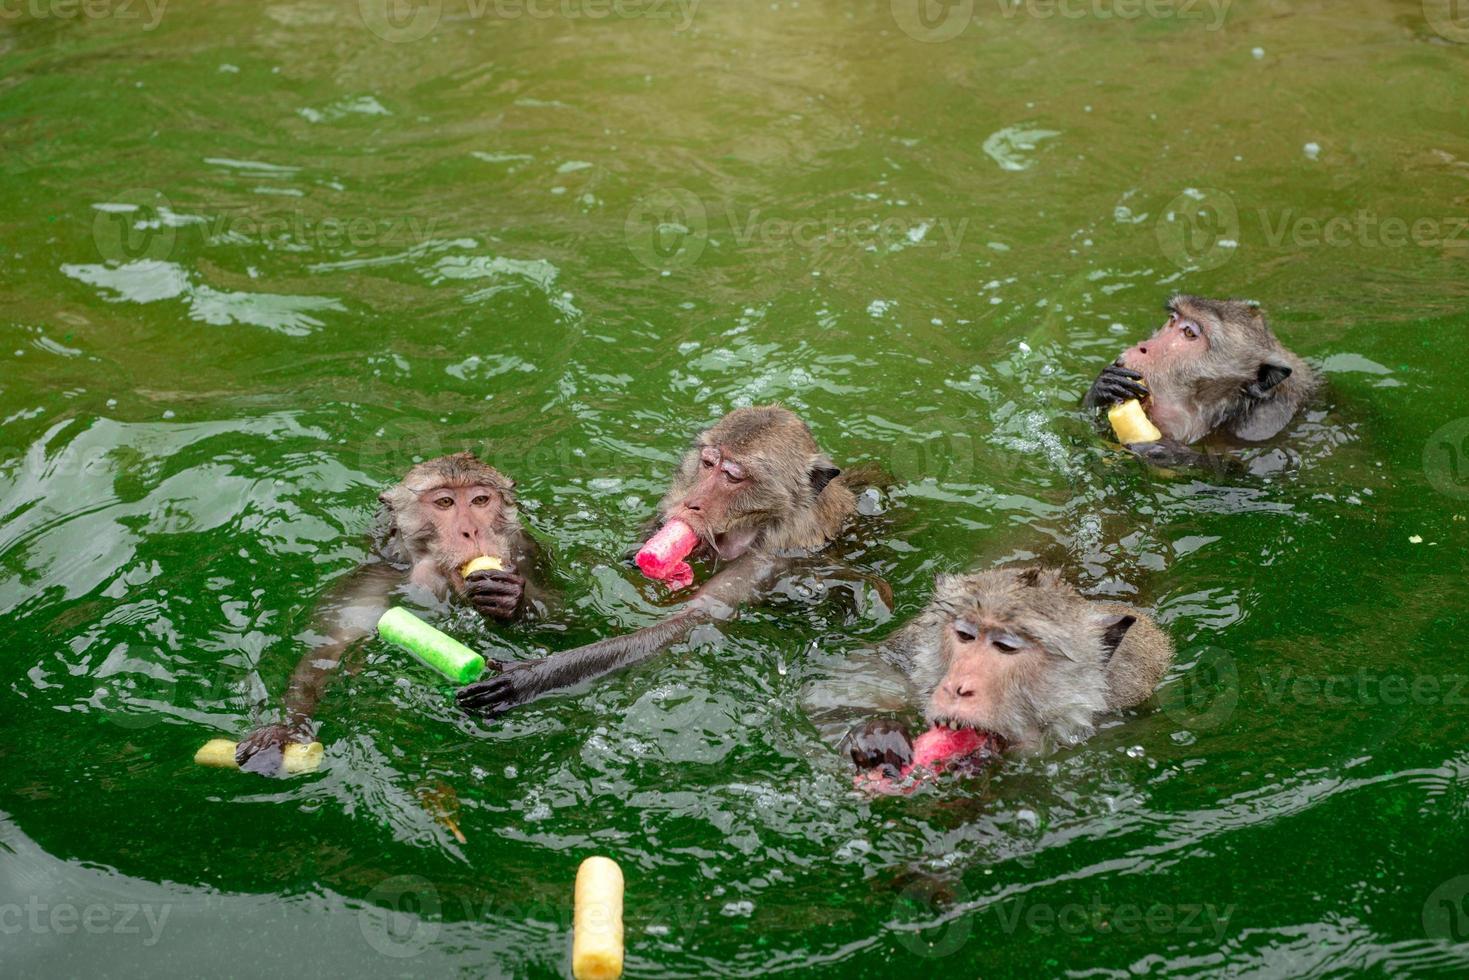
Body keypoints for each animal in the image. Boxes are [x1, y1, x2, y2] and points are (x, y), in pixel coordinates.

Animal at [237, 452, 549, 775]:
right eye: (445, 503)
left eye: (480, 500)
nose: (471, 531)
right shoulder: (371, 582)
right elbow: (326, 650)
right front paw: (288, 728)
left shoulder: (531, 554)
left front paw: (509, 599)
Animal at [452, 405, 875, 719]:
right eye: (708, 464)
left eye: (733, 476)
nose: (692, 503)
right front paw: (508, 599)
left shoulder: (765, 563)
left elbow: (681, 623)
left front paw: (530, 676)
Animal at [1087, 295, 1316, 467]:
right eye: (1172, 320)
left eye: (1189, 332)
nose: (1142, 347)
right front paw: (1103, 387)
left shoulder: (1261, 427)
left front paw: (1165, 449)